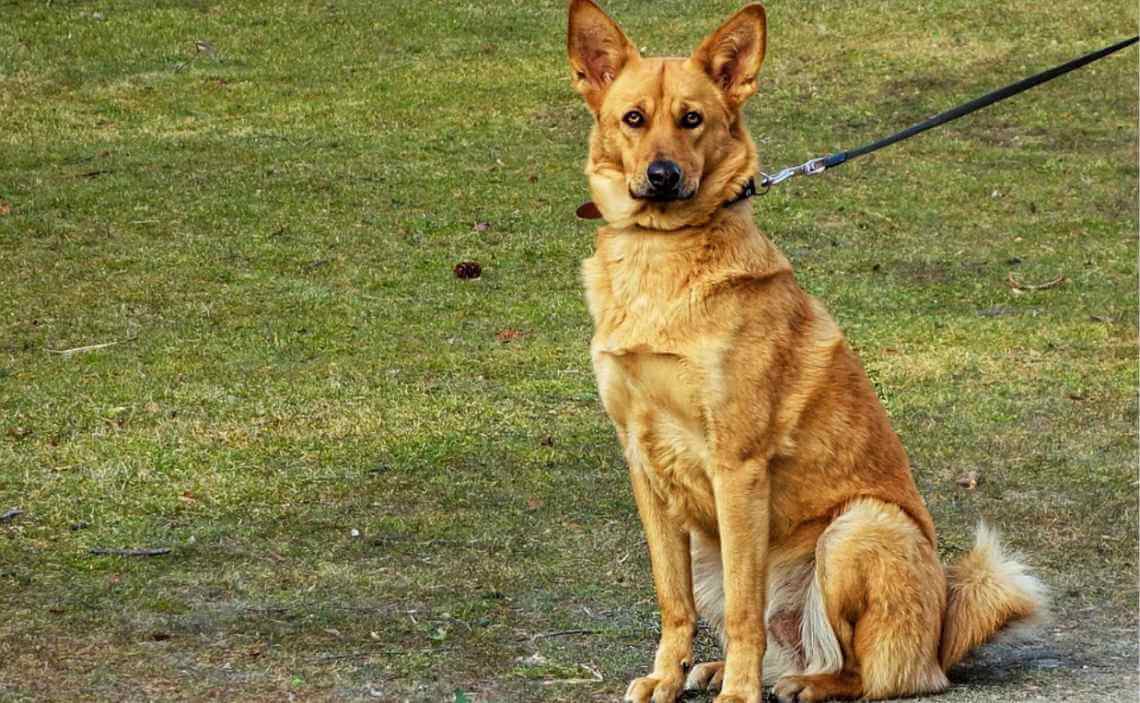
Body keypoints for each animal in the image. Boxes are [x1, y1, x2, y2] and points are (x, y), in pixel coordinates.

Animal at [565, 2, 1044, 697]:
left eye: (692, 119)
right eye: (634, 119)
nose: (663, 176)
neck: (663, 256)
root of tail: (942, 636)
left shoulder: (737, 467)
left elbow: (745, 609)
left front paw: (740, 692)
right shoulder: (643, 463)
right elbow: (673, 600)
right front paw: (666, 675)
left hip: (857, 529)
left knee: (869, 670)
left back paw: (803, 683)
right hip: (716, 546)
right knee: (784, 637)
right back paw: (722, 669)